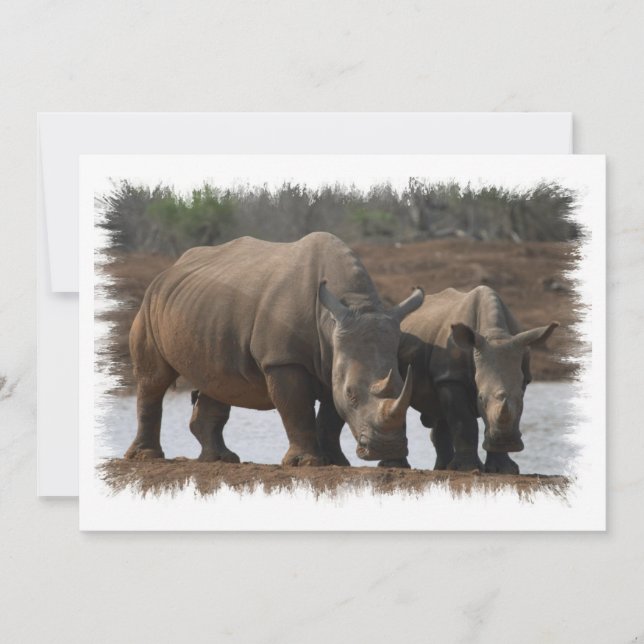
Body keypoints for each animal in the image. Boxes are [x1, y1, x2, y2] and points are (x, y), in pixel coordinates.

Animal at [125, 232, 424, 466]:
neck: (351, 306)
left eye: (404, 387)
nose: (388, 447)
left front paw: (337, 462)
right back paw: (146, 456)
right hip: (150, 303)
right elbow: (297, 408)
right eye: (352, 395)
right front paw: (307, 463)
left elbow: (331, 415)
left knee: (217, 379)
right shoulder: (282, 360)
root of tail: (171, 268)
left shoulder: (334, 358)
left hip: (205, 312)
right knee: (153, 379)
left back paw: (222, 458)